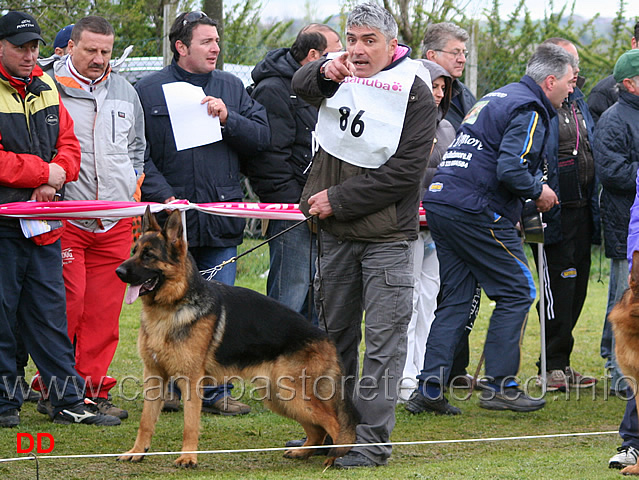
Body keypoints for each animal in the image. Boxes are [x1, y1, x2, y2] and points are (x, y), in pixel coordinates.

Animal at [117, 208, 358, 466]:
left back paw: (335, 459)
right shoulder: (154, 377)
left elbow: (190, 424)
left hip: (293, 395)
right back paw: (303, 452)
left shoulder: (191, 380)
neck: (171, 307)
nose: (118, 272)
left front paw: (188, 457)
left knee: (336, 425)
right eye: (134, 251)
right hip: (279, 397)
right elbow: (145, 422)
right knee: (317, 430)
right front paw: (137, 451)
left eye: (149, 255)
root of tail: (326, 337)